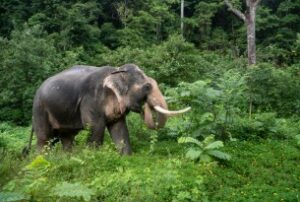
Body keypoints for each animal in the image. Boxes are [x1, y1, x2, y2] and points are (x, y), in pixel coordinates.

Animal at [24, 64, 191, 155]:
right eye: (147, 87)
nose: (146, 107)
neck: (117, 71)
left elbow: (119, 128)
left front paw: (126, 157)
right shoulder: (91, 100)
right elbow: (95, 127)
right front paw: (93, 158)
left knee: (66, 137)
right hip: (39, 109)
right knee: (45, 138)